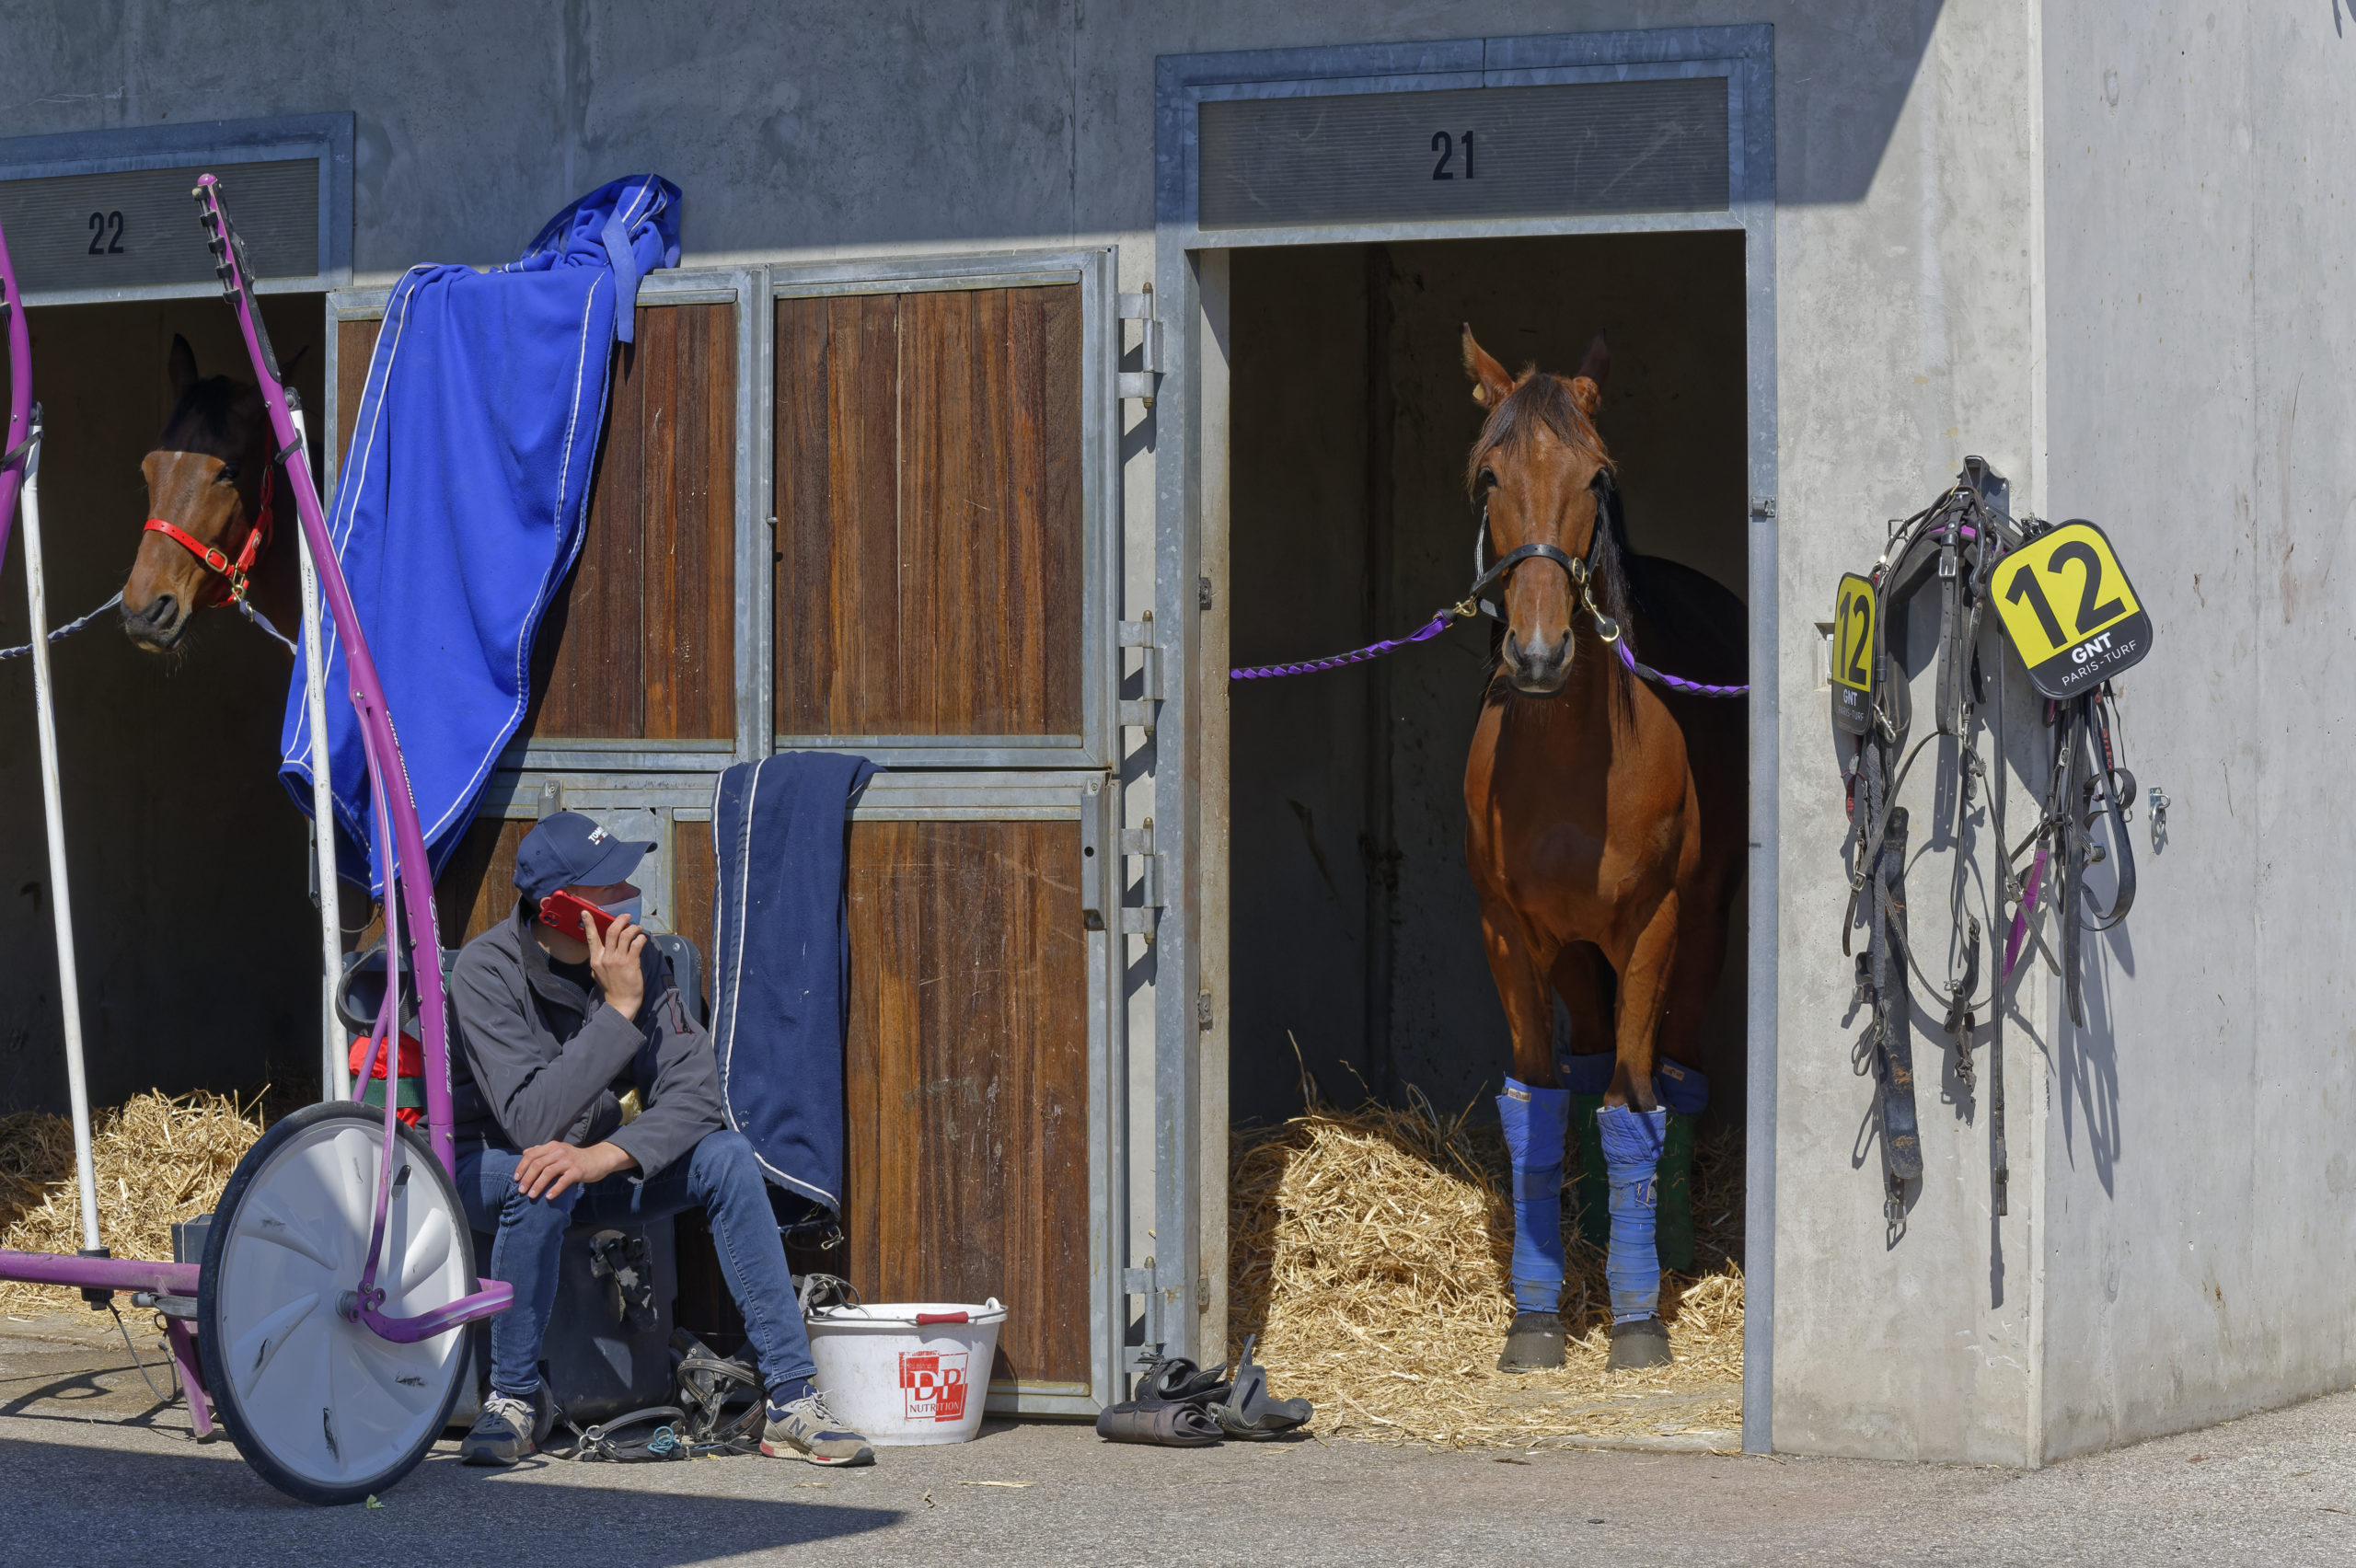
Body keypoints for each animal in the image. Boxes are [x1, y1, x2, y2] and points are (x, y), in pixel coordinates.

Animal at [1470, 327, 1752, 1365]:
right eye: (1488, 475)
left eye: (1594, 476)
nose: (1539, 654)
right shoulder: (1509, 936)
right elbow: (1538, 1109)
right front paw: (1536, 1315)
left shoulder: (1654, 928)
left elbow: (1636, 1108)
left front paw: (1636, 1318)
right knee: (1593, 1066)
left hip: (1700, 929)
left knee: (1672, 1076)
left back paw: (1663, 1245)